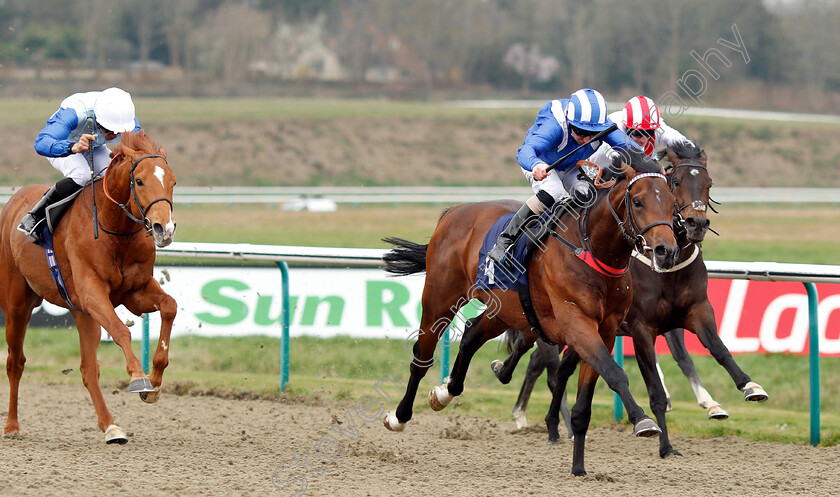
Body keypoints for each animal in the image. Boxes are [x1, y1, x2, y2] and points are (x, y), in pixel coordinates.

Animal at [1, 130, 179, 444]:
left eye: (172, 181)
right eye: (139, 181)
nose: (164, 230)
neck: (116, 230)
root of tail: (14, 201)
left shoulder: (135, 291)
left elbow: (170, 306)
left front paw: (155, 383)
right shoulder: (93, 294)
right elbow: (120, 330)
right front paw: (139, 378)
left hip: (81, 313)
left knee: (88, 369)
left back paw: (110, 426)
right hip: (17, 306)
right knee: (15, 362)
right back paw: (11, 425)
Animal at [384, 149, 680, 474]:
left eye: (671, 201)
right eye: (638, 201)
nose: (666, 251)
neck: (591, 249)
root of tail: (454, 211)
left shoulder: (605, 330)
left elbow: (585, 402)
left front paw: (579, 468)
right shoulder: (577, 324)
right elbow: (614, 373)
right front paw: (642, 420)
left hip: (504, 309)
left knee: (471, 335)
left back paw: (444, 393)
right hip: (440, 298)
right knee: (421, 356)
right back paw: (399, 416)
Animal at [492, 140, 768, 458]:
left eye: (708, 183)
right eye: (675, 182)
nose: (696, 224)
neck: (669, 268)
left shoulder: (694, 311)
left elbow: (714, 350)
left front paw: (745, 389)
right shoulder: (641, 327)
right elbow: (655, 388)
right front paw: (665, 444)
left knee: (556, 367)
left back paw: (552, 424)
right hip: (555, 322)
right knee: (537, 356)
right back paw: (517, 396)